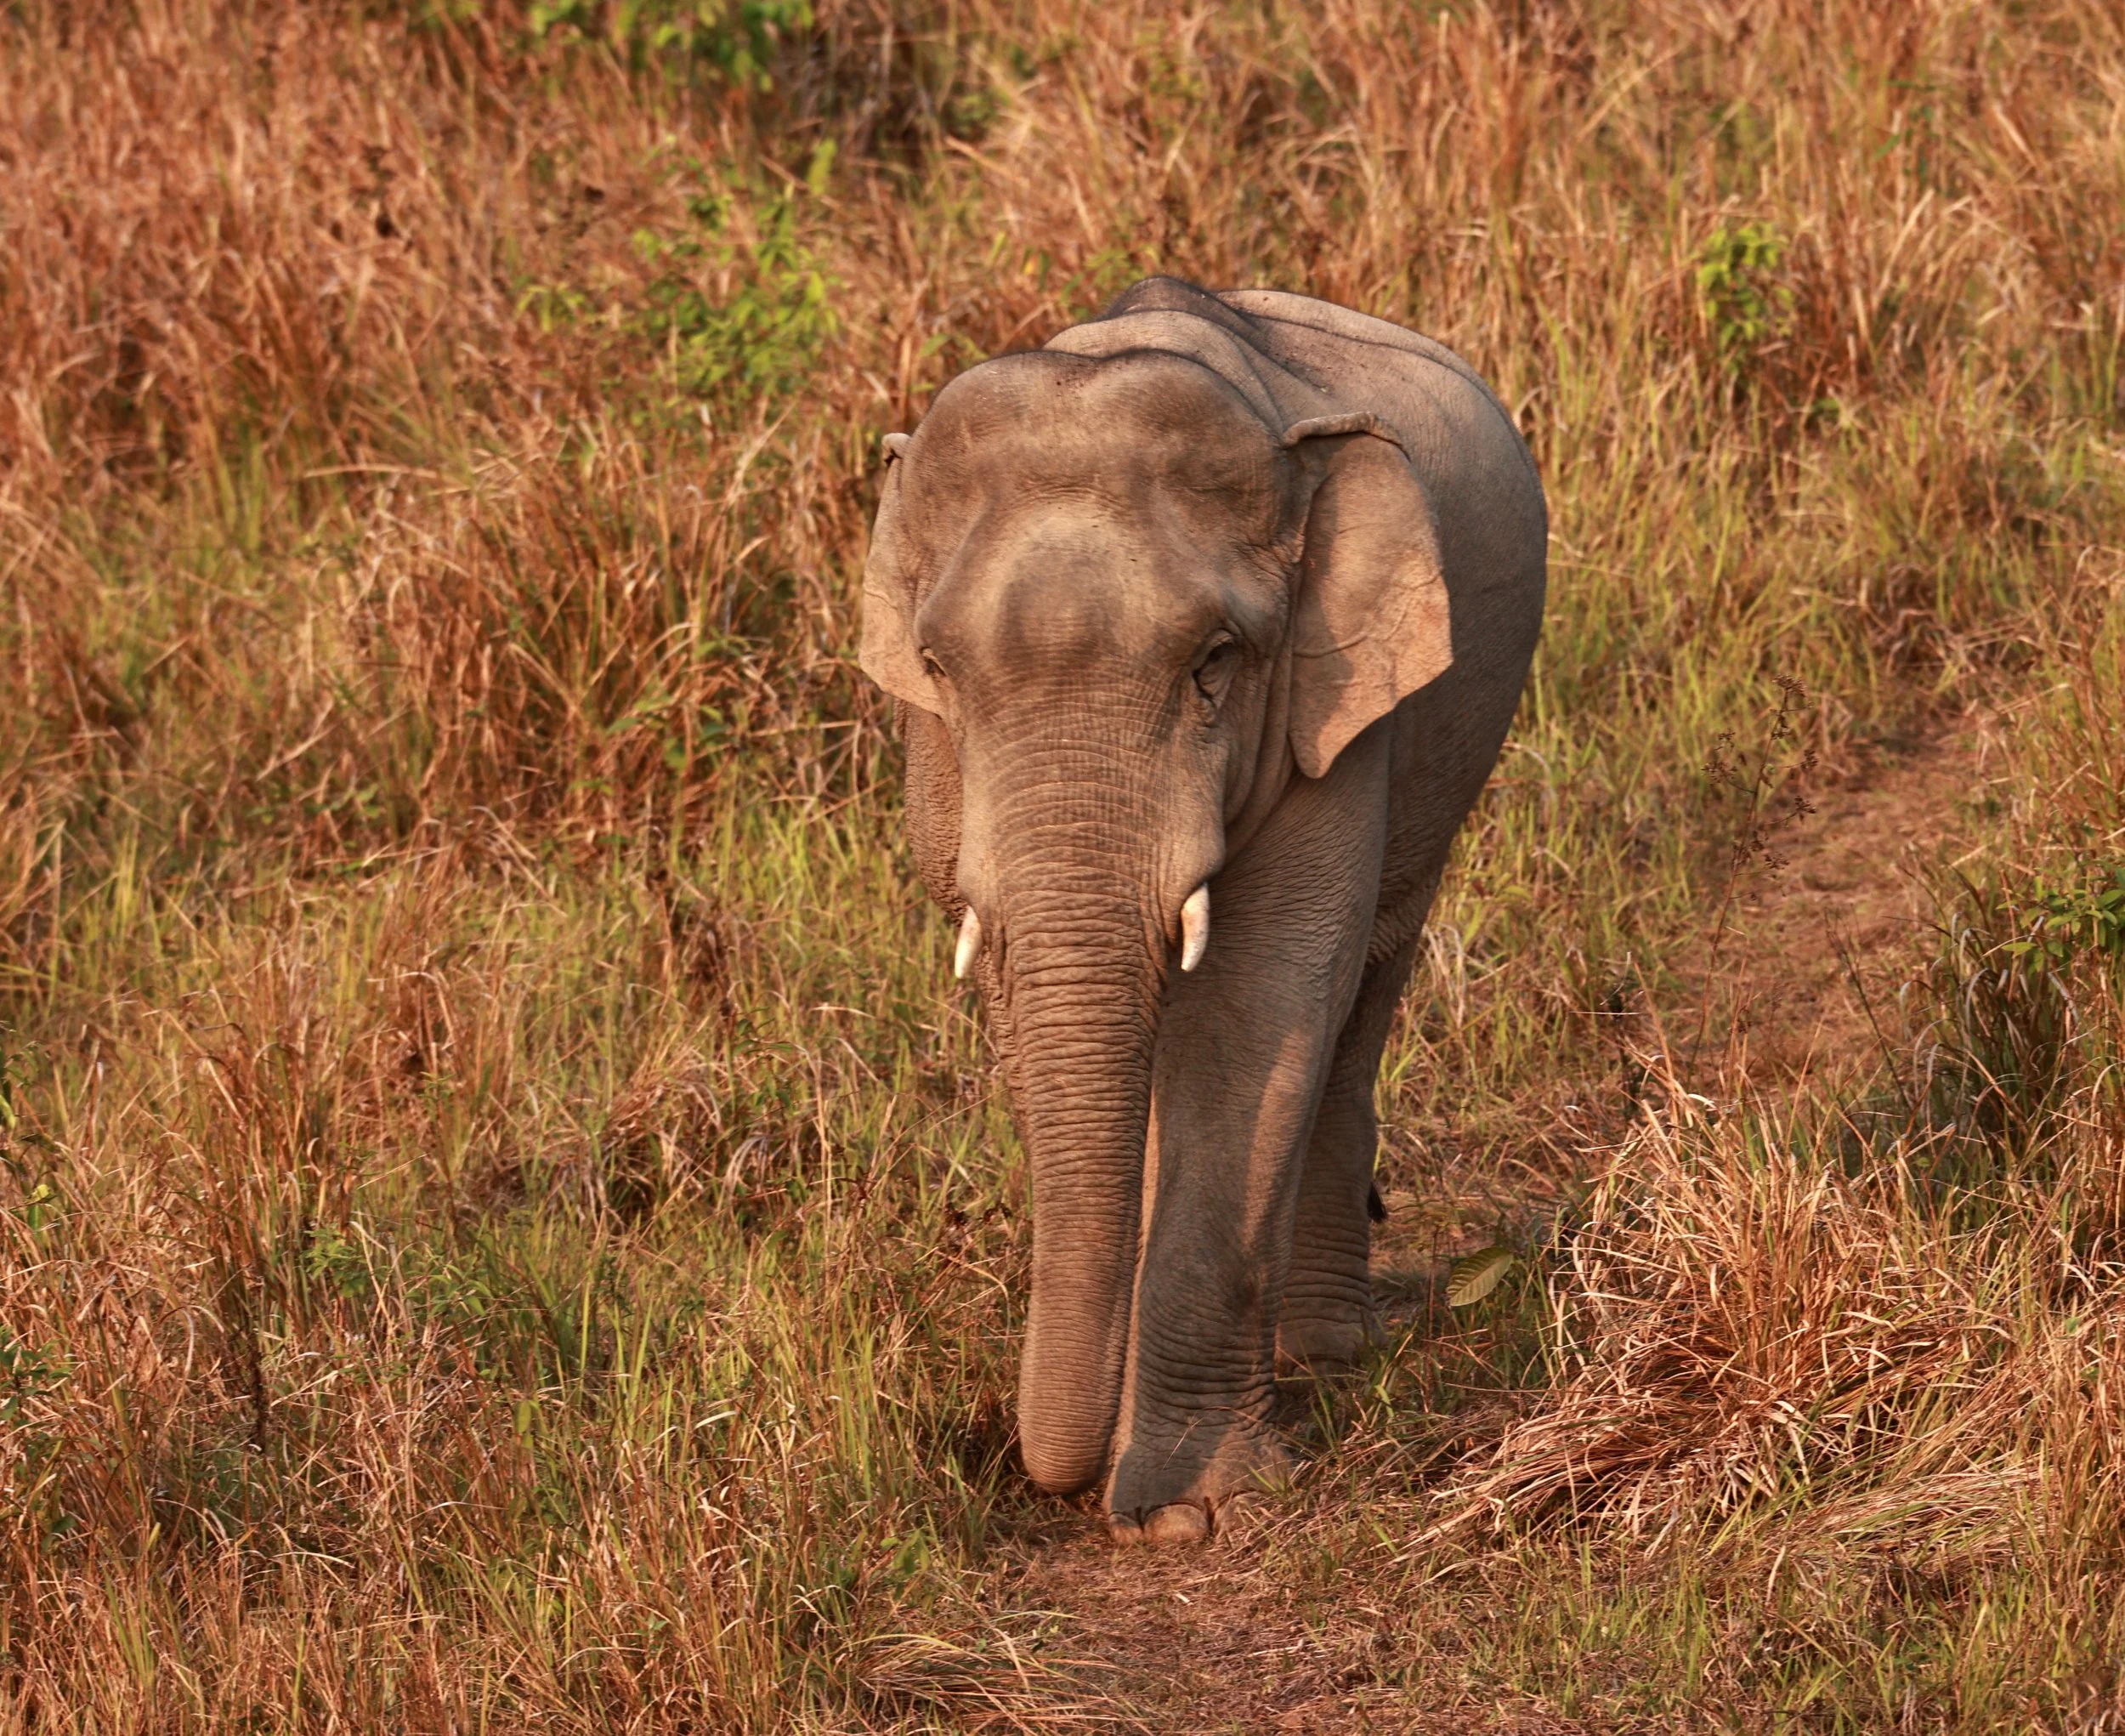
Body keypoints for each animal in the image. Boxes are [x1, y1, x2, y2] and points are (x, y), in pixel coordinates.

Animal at [859, 277, 1546, 1544]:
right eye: (938, 669)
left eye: (1215, 660)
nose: (1050, 1475)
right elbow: (1038, 1001)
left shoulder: (1339, 713)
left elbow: (1260, 1003)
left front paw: (1185, 1510)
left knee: (1363, 993)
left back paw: (1321, 1353)